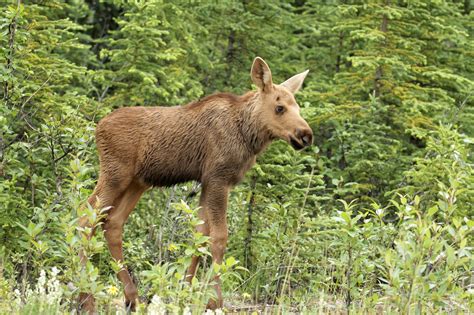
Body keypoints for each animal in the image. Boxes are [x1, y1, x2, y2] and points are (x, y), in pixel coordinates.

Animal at [79, 57, 312, 314]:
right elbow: (219, 237)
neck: (247, 135)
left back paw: (132, 298)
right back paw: (85, 299)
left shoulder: (207, 182)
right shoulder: (219, 178)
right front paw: (215, 301)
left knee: (112, 223)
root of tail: (97, 128)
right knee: (85, 217)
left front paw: (186, 291)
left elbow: (199, 235)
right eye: (279, 108)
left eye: (297, 107)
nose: (306, 135)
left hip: (137, 183)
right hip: (115, 174)